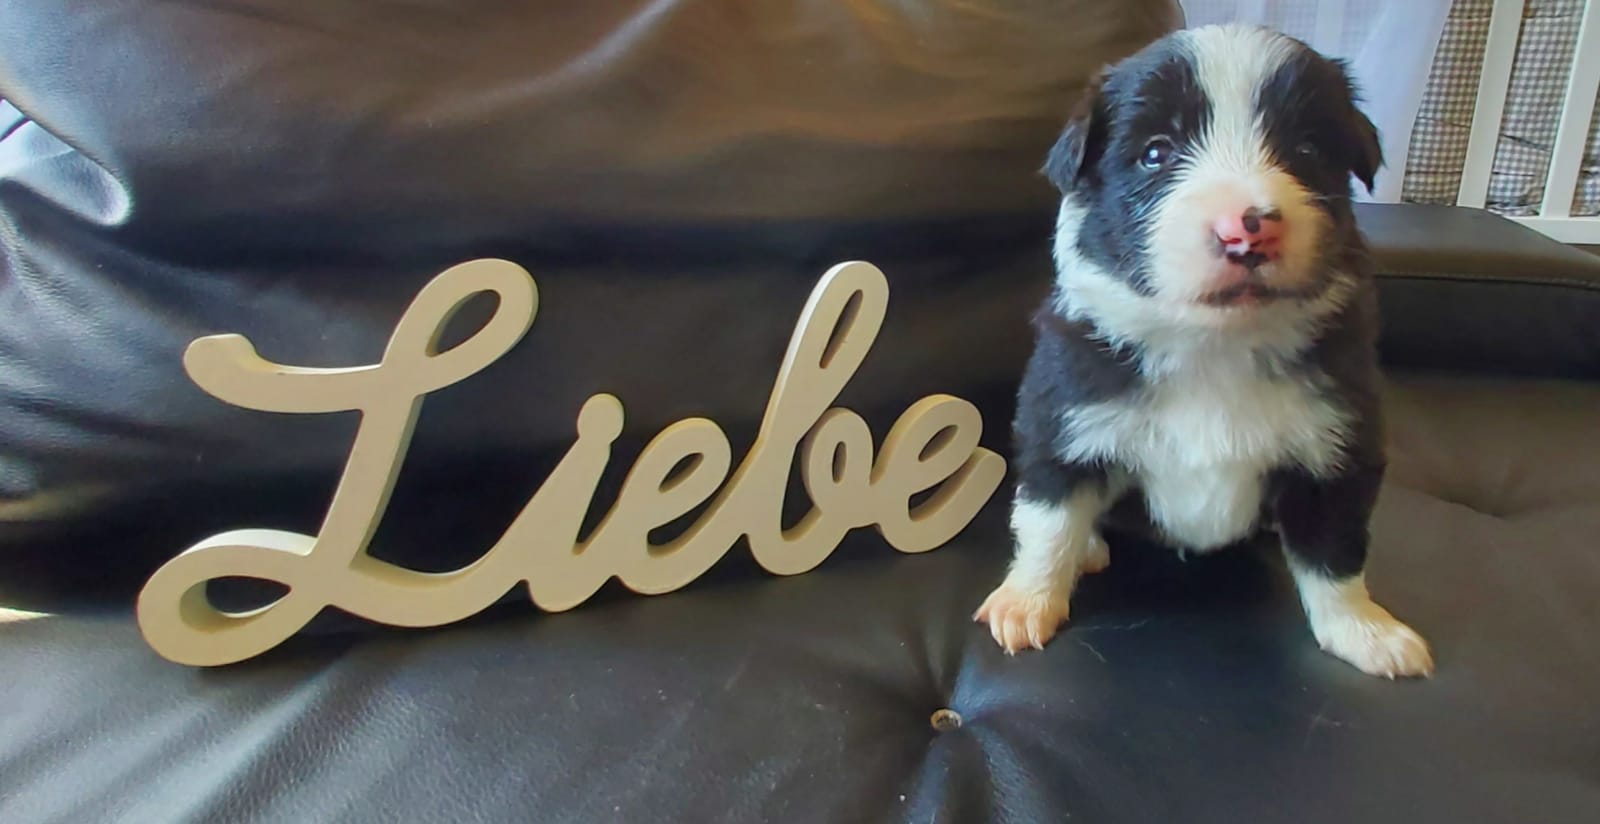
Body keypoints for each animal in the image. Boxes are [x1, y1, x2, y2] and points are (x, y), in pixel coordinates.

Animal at [973, 24, 1433, 679]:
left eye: (1309, 149)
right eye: (1156, 153)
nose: (1246, 229)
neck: (1214, 345)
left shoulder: (1341, 445)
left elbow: (1336, 552)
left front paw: (1364, 630)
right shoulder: (1061, 421)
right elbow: (1049, 522)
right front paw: (1026, 603)